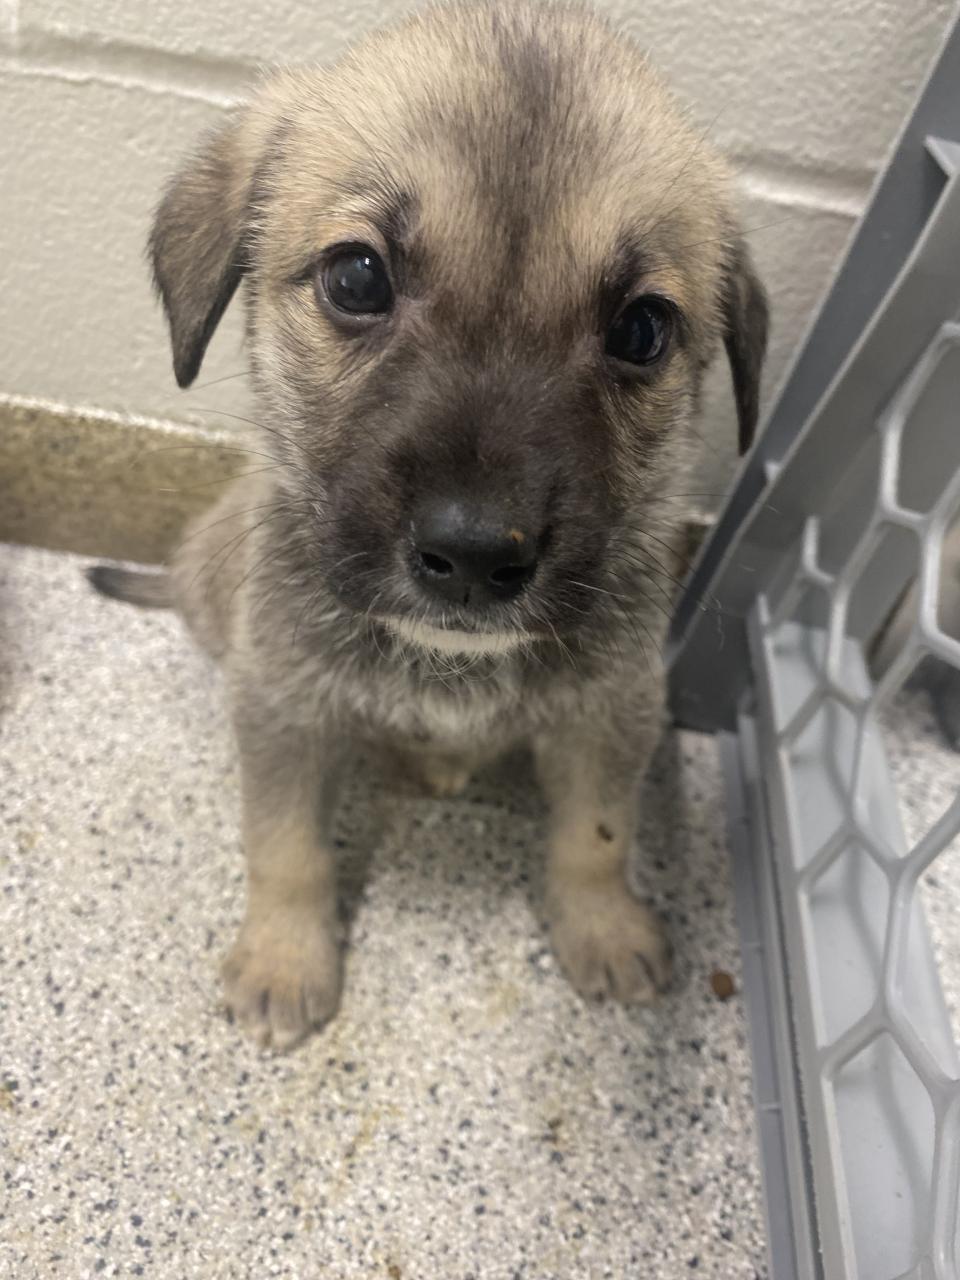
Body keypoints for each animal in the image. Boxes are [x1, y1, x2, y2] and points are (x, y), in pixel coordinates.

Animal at [91, 0, 768, 1050]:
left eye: (642, 330)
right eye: (357, 278)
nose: (476, 556)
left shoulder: (611, 713)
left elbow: (597, 835)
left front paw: (604, 927)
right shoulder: (285, 709)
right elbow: (285, 847)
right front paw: (285, 959)